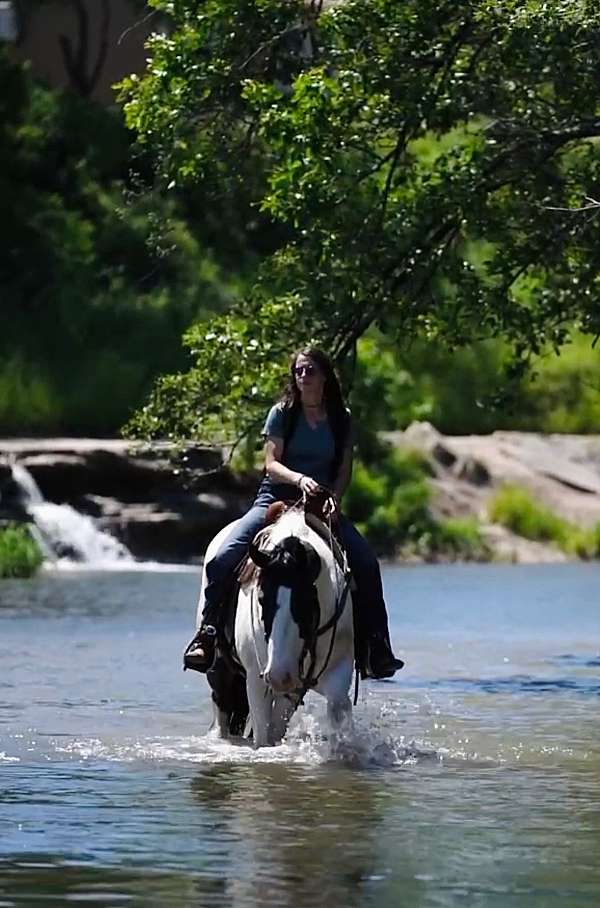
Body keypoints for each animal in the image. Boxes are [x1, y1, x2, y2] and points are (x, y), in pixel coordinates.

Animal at [197, 508, 356, 748]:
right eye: (261, 599)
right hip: (224, 671)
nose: (279, 676)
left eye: (306, 602)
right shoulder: (256, 680)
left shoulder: (332, 672)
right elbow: (263, 736)